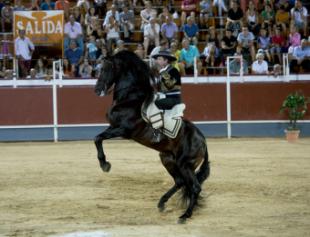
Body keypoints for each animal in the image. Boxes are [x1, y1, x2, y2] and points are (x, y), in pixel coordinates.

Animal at [94, 50, 211, 224]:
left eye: (106, 69)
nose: (97, 90)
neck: (130, 98)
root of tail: (202, 141)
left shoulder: (122, 130)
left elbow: (98, 138)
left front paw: (105, 165)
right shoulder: (113, 127)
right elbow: (98, 138)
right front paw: (105, 164)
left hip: (185, 164)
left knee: (194, 187)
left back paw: (184, 216)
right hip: (168, 159)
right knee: (180, 182)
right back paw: (162, 203)